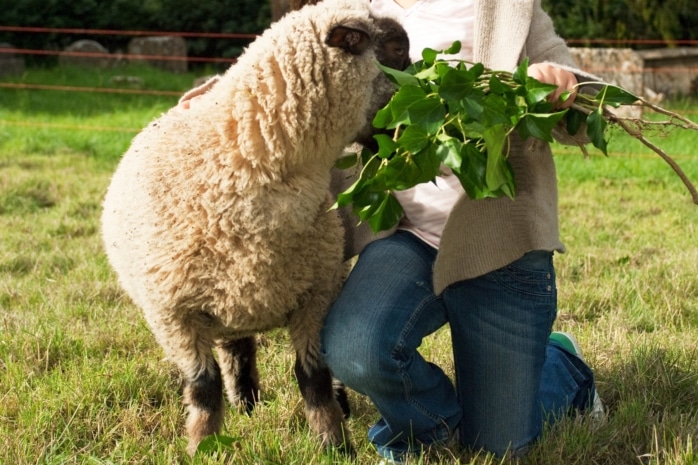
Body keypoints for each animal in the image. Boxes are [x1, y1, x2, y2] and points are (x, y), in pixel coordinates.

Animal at [101, 0, 410, 456]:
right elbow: (203, 387)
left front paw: (334, 446)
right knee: (237, 349)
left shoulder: (315, 296)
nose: (406, 130)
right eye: (397, 48)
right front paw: (203, 449)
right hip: (225, 300)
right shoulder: (173, 314)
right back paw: (245, 405)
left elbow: (313, 378)